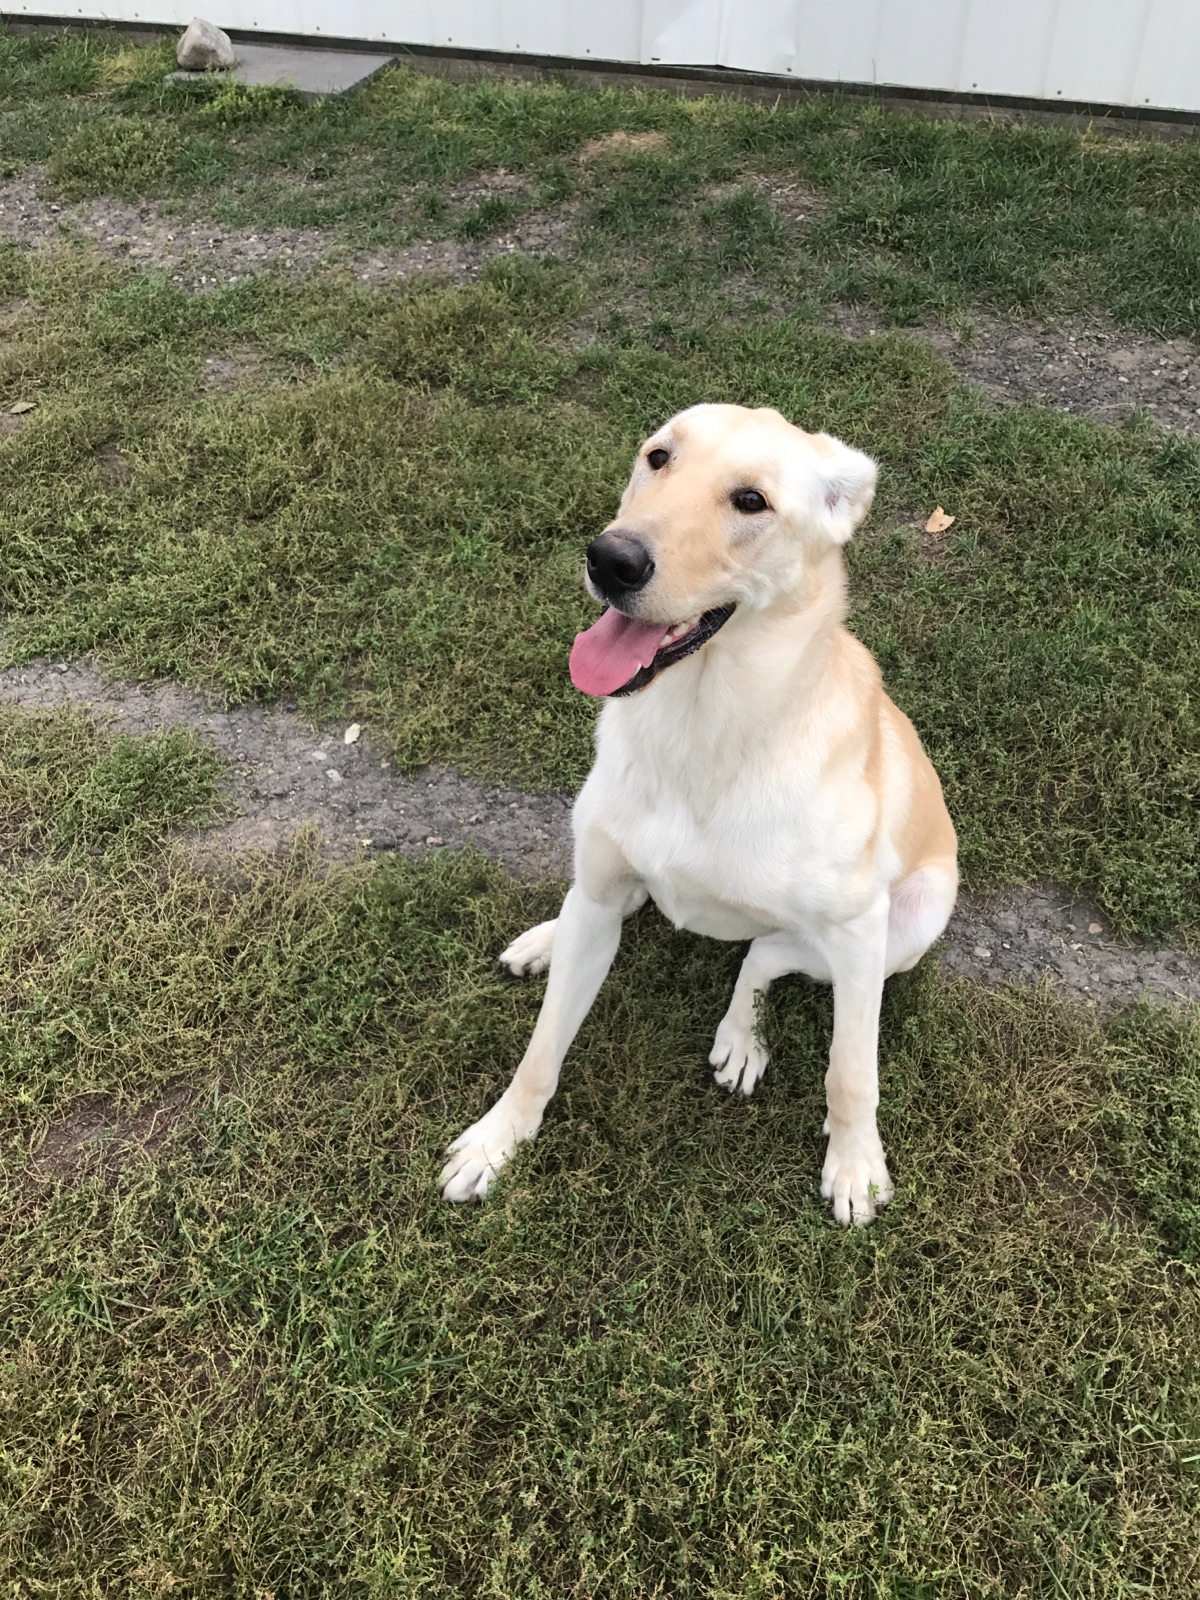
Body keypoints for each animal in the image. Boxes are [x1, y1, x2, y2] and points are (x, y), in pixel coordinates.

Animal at [441, 403, 960, 1222]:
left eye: (751, 500)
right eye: (658, 458)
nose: (610, 559)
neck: (701, 727)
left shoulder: (857, 931)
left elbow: (851, 1071)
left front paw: (854, 1165)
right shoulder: (603, 889)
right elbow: (541, 1050)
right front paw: (497, 1141)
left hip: (911, 924)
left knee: (766, 952)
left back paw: (742, 1036)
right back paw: (547, 940)